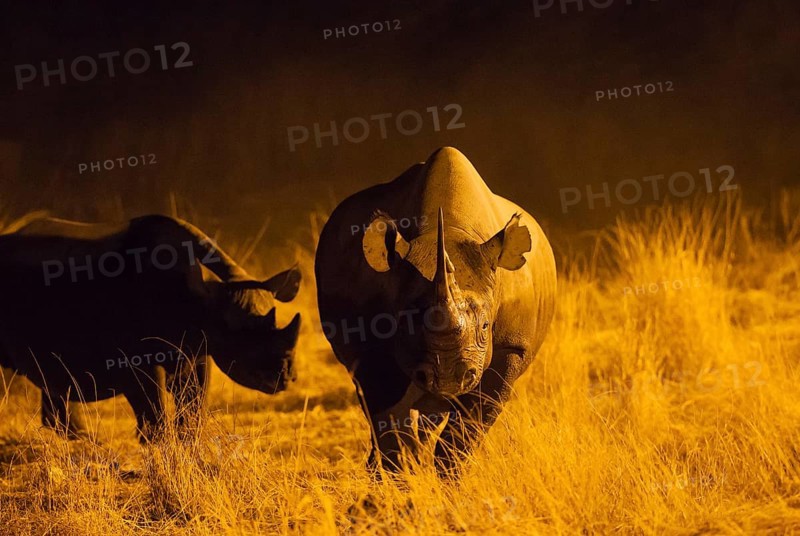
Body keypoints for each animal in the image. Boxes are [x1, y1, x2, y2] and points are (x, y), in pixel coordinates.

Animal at [0, 214, 301, 439]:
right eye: (245, 338)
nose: (287, 377)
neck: (204, 303)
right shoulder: (133, 360)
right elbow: (154, 417)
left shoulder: (198, 352)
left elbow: (193, 411)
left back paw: (78, 438)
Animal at [315, 147, 556, 473]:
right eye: (405, 324)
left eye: (485, 327)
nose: (448, 380)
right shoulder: (369, 346)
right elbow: (390, 423)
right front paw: (403, 474)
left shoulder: (511, 347)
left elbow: (466, 429)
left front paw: (446, 476)